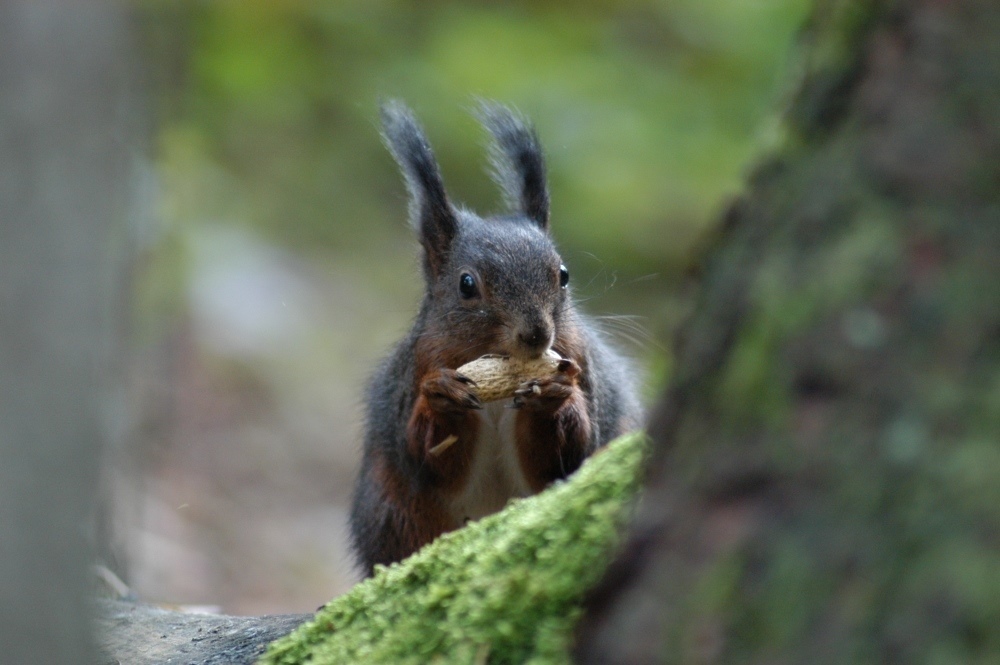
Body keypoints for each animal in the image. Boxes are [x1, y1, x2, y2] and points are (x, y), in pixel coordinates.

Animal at [348, 101, 644, 572]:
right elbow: (427, 459)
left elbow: (571, 453)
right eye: (467, 285)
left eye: (563, 274)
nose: (537, 335)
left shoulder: (580, 365)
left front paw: (551, 396)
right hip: (390, 513)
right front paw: (444, 397)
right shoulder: (417, 369)